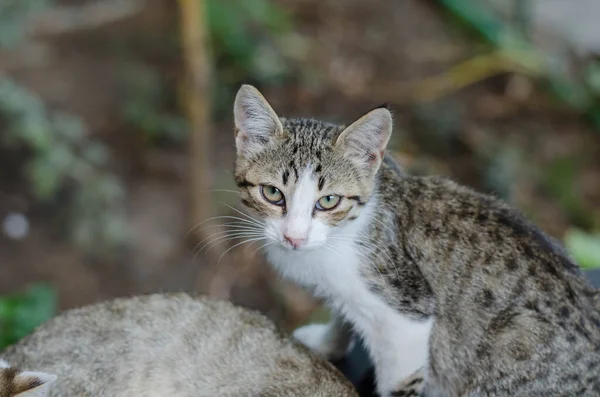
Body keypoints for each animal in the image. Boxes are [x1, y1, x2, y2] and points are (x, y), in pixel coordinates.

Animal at [232, 84, 600, 396]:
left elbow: (399, 378)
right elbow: (344, 315)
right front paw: (326, 343)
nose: (293, 237)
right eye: (272, 193)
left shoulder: (408, 316)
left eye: (328, 201)